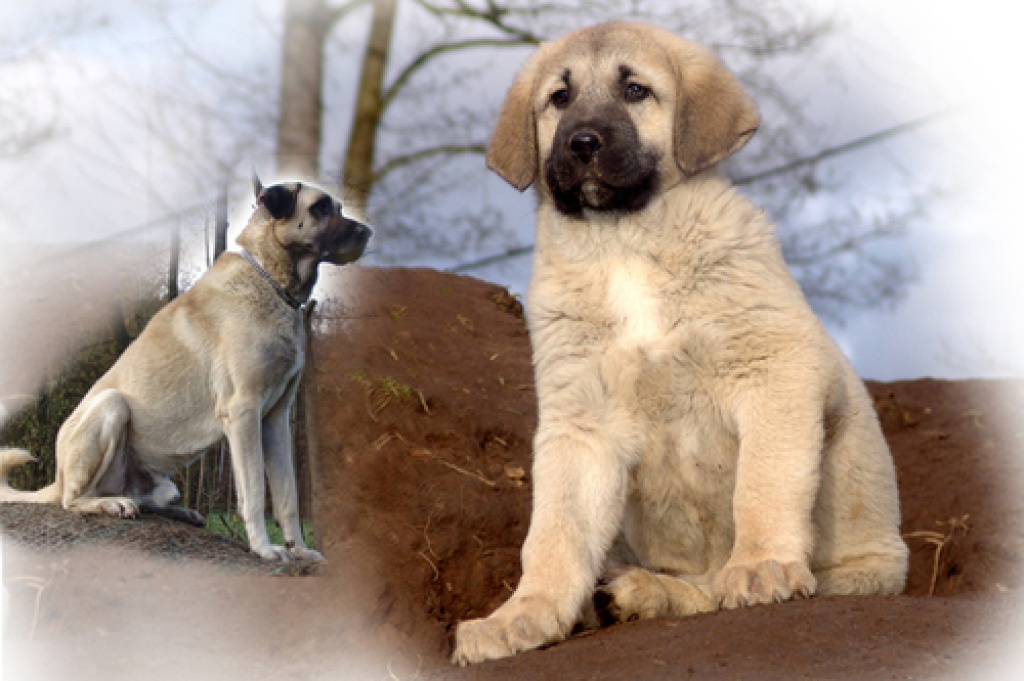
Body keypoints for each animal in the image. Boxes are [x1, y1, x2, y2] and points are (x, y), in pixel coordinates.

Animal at [1, 178, 372, 561]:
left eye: (338, 207)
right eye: (320, 208)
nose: (368, 233)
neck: (272, 282)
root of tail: (57, 477)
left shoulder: (276, 419)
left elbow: (287, 497)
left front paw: (299, 550)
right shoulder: (243, 412)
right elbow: (254, 491)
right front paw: (264, 548)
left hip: (164, 481)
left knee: (144, 502)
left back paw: (180, 512)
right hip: (111, 405)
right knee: (72, 499)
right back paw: (111, 504)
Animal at [452, 22, 909, 663]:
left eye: (635, 91)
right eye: (559, 99)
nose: (583, 143)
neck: (624, 244)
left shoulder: (774, 370)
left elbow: (763, 484)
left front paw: (762, 564)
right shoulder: (580, 421)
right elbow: (554, 534)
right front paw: (525, 615)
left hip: (864, 562)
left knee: (722, 580)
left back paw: (657, 590)